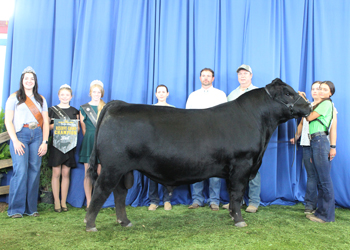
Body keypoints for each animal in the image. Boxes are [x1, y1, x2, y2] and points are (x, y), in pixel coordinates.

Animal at [85, 79, 312, 231]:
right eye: (288, 93)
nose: (308, 106)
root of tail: (118, 104)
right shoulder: (242, 163)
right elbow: (237, 193)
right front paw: (239, 220)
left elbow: (232, 195)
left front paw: (232, 215)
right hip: (113, 167)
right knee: (101, 191)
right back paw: (90, 224)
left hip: (123, 169)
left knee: (119, 194)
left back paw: (125, 222)